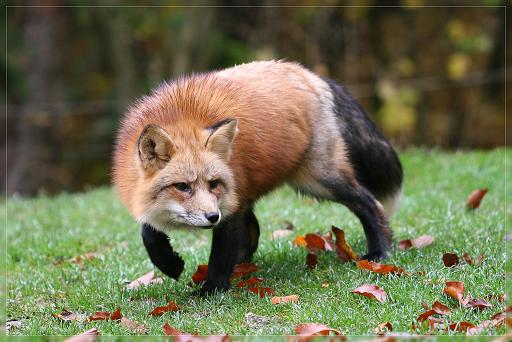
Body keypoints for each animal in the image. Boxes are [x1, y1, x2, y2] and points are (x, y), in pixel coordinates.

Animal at [113, 60, 404, 292]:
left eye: (213, 183)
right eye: (182, 186)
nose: (212, 217)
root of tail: (312, 75)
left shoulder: (229, 207)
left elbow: (220, 257)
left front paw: (211, 291)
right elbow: (148, 232)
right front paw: (170, 264)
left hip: (319, 179)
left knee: (369, 203)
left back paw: (379, 251)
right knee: (253, 231)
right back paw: (244, 267)